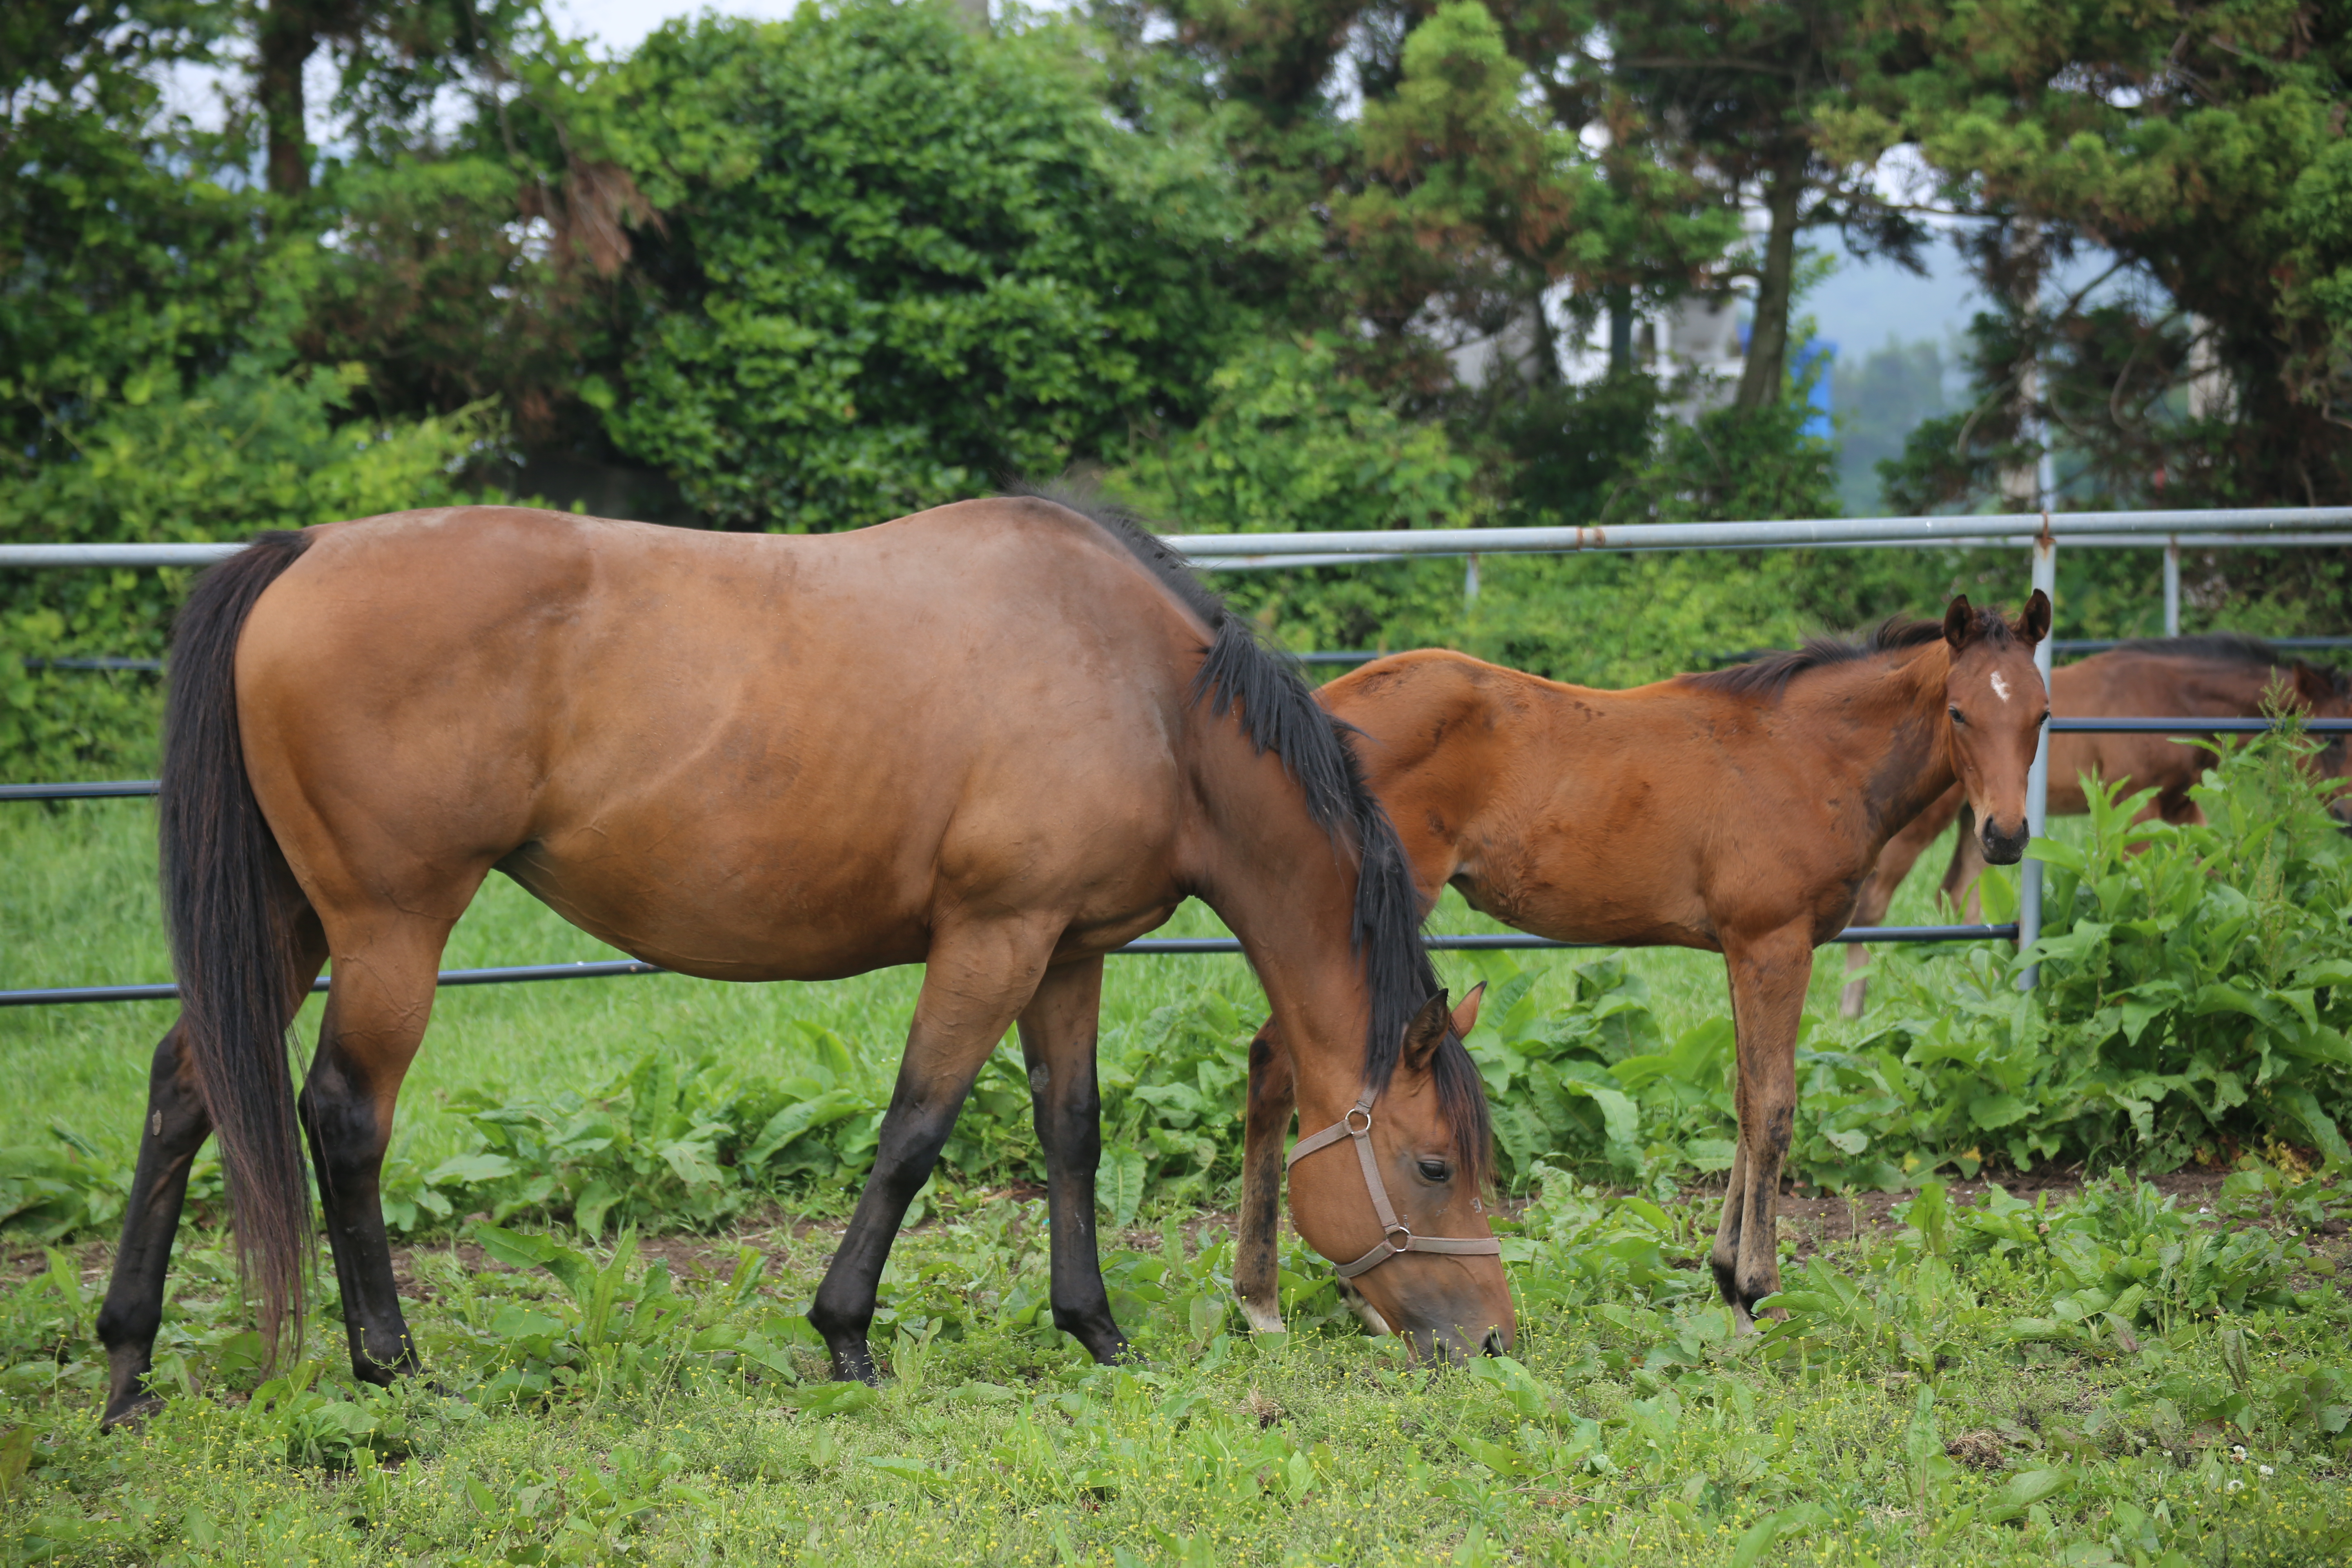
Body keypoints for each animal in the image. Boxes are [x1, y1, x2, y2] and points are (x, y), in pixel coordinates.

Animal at [96, 496, 1505, 1429]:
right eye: (1436, 1164)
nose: (1492, 1341)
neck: (1143, 691)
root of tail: (309, 552)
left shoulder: (1066, 951)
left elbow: (1073, 1131)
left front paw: (1097, 1330)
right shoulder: (992, 936)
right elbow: (917, 1128)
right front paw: (847, 1337)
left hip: (290, 920)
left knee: (183, 1085)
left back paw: (126, 1366)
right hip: (391, 927)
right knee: (342, 1114)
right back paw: (388, 1365)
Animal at [1242, 595, 2051, 1335]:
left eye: (2042, 715)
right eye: (1959, 713)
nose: (2006, 836)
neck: (1808, 752)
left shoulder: (1742, 948)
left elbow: (1744, 1098)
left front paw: (1726, 1278)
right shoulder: (1774, 942)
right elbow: (1775, 1108)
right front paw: (1760, 1290)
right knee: (1283, 1059)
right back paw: (1280, 1300)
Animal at [1834, 639, 2352, 1020]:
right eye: (2330, 736)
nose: (2347, 812)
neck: (2169, 699)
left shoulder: (2181, 805)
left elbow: (2215, 876)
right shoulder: (2135, 805)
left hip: (1979, 821)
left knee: (1960, 898)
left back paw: (1982, 988)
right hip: (1924, 820)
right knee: (1875, 903)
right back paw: (1852, 1010)